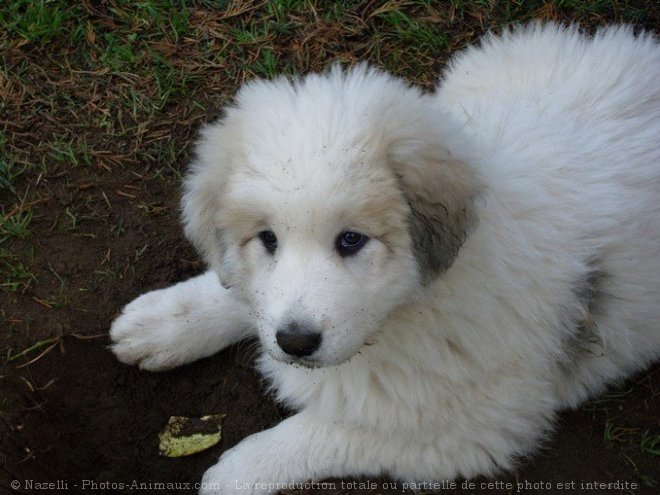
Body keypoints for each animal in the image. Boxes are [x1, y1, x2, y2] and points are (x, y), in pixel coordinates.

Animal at [111, 24, 660, 495]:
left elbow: (327, 430)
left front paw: (239, 471)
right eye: (267, 239)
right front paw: (166, 322)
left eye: (352, 240)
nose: (295, 342)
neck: (409, 306)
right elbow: (242, 293)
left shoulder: (474, 423)